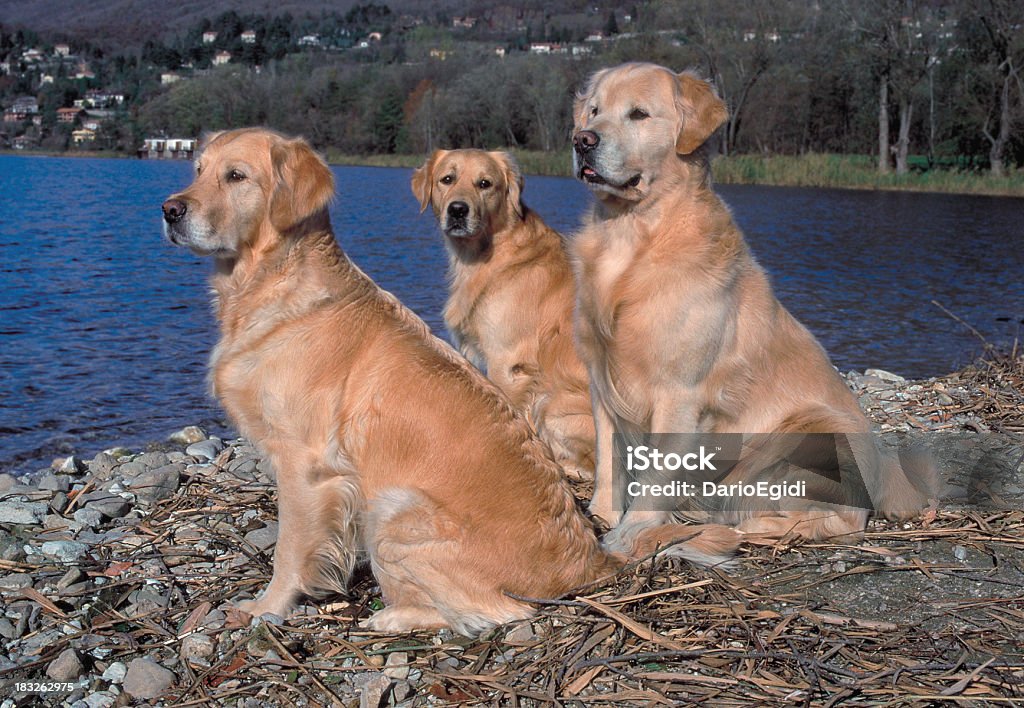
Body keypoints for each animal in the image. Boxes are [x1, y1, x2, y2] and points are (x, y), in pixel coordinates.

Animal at [411, 149, 598, 481]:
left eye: (485, 183)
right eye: (447, 179)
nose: (458, 210)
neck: (492, 253)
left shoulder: (507, 360)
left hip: (553, 402)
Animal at [569, 65, 937, 553]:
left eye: (639, 114)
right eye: (594, 110)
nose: (582, 140)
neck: (633, 237)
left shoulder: (680, 393)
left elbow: (654, 476)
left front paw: (631, 534)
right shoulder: (601, 380)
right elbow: (609, 459)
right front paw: (600, 517)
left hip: (809, 432)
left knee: (843, 519)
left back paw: (743, 527)